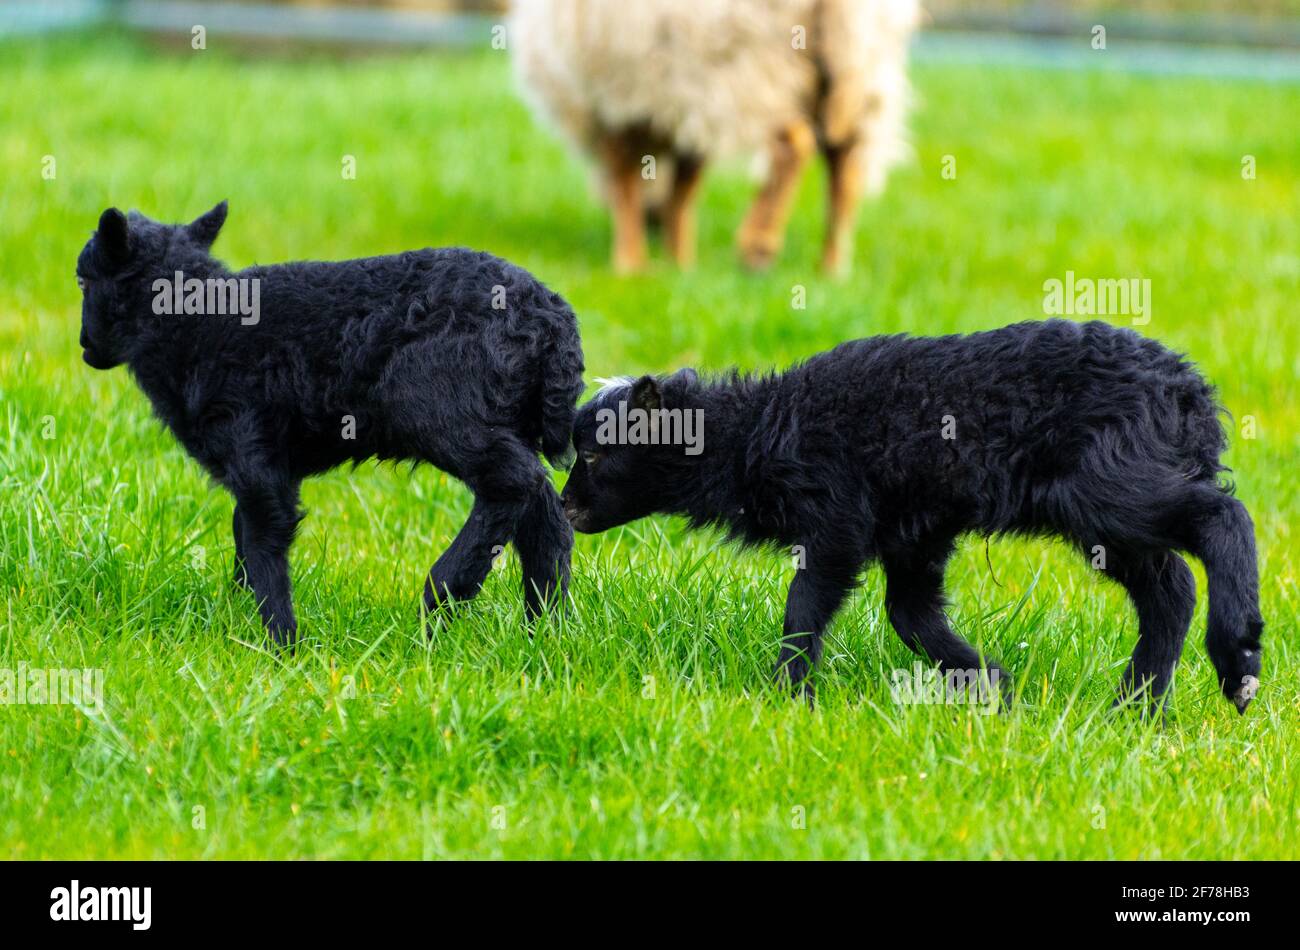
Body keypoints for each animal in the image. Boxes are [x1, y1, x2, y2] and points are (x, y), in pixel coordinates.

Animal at [78, 204, 587, 641]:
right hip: (509, 420)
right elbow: (243, 532)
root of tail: (553, 322)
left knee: (513, 483)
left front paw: (280, 644)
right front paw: (239, 617)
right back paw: (545, 627)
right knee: (545, 518)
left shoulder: (252, 448)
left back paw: (442, 594)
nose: (86, 348)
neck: (199, 324)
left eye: (83, 280)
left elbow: (263, 536)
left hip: (446, 411)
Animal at [512, 0, 920, 275]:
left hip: (740, 66)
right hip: (858, 70)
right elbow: (684, 187)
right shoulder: (681, 108)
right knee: (846, 165)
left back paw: (757, 246)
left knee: (792, 143)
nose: (652, 220)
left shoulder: (615, 99)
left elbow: (625, 178)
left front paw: (630, 264)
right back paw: (832, 267)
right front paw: (679, 260)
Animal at [564, 319, 1263, 712]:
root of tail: (1189, 396)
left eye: (596, 453)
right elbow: (911, 615)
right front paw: (995, 689)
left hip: (1108, 485)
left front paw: (790, 696)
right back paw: (1134, 708)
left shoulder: (837, 521)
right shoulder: (914, 534)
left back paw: (1238, 660)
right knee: (1171, 588)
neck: (756, 430)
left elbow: (804, 605)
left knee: (1223, 517)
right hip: (1106, 516)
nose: (567, 507)